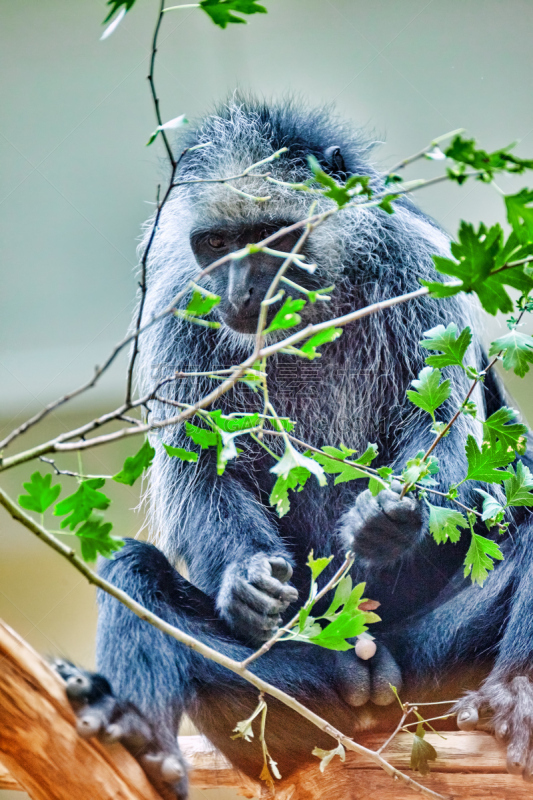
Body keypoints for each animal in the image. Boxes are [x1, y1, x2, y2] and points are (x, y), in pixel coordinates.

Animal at [58, 98, 533, 792]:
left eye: (274, 240)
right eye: (219, 246)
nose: (244, 292)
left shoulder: (416, 266)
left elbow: (445, 432)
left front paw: (385, 522)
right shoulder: (179, 302)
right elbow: (199, 471)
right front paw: (247, 583)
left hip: (432, 666)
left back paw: (513, 694)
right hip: (283, 689)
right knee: (132, 573)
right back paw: (137, 729)